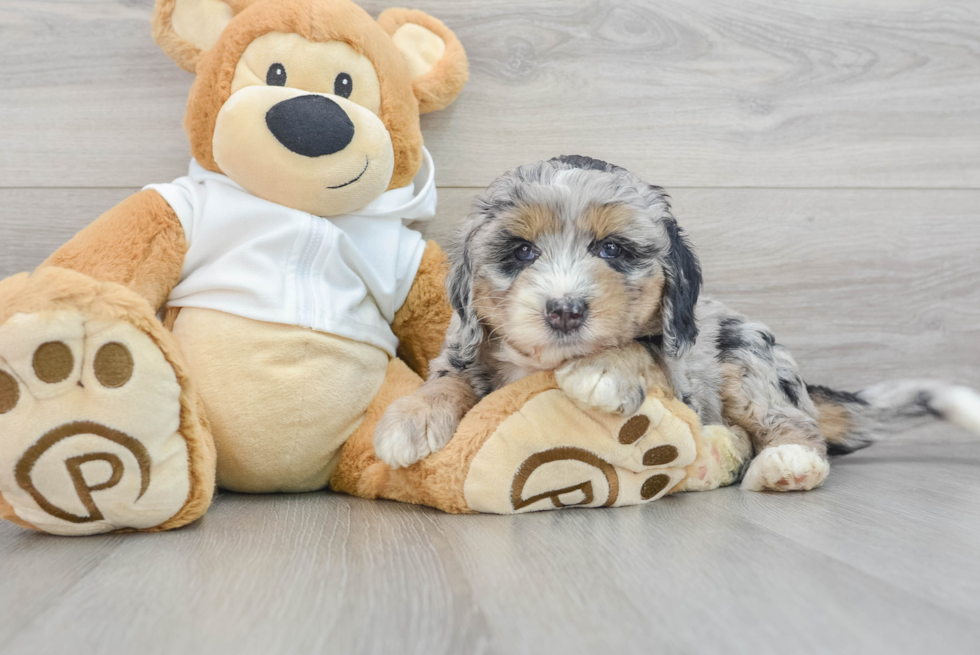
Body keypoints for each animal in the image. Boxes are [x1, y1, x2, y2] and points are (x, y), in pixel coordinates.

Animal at [374, 155, 980, 492]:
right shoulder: (466, 350)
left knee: (788, 426)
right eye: (521, 252)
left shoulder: (679, 373)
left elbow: (642, 351)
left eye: (613, 249)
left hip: (747, 358)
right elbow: (450, 379)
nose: (564, 309)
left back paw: (785, 464)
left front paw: (602, 370)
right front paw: (410, 418)